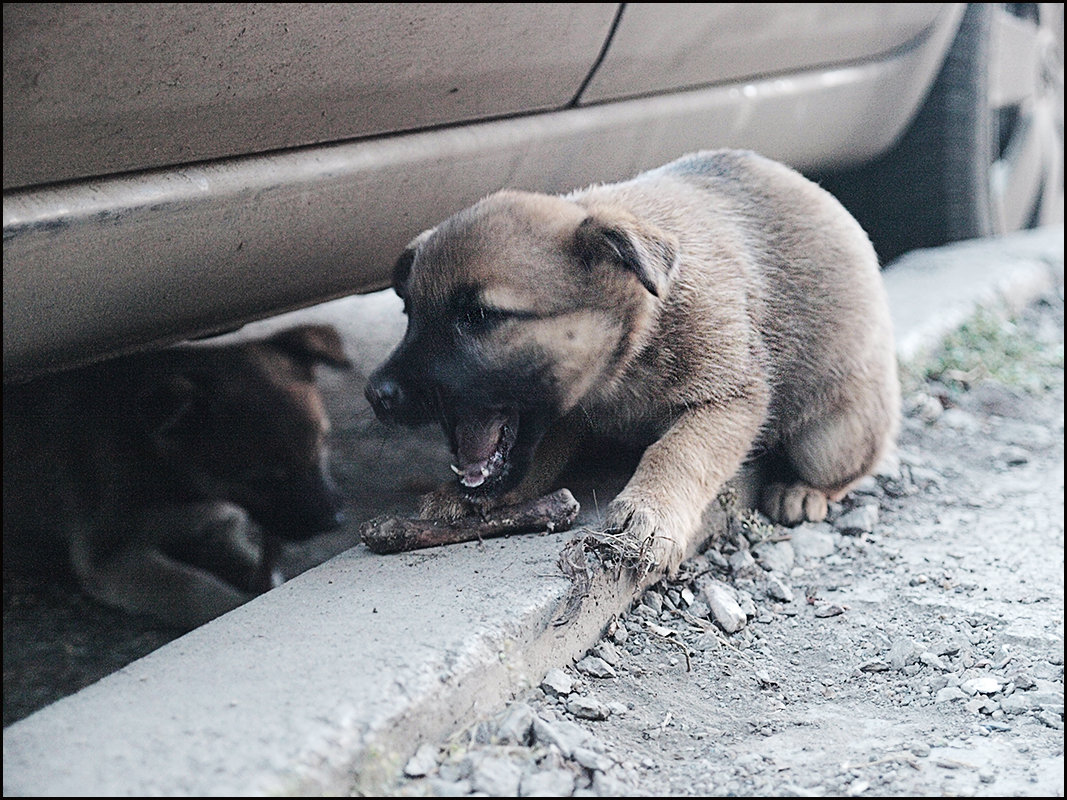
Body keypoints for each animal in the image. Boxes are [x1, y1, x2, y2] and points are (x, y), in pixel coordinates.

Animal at [364, 150, 900, 576]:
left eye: (477, 317)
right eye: (410, 313)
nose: (375, 394)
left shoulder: (728, 400)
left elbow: (678, 451)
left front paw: (651, 511)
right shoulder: (566, 416)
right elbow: (538, 457)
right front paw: (465, 499)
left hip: (831, 439)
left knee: (847, 466)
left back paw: (803, 491)